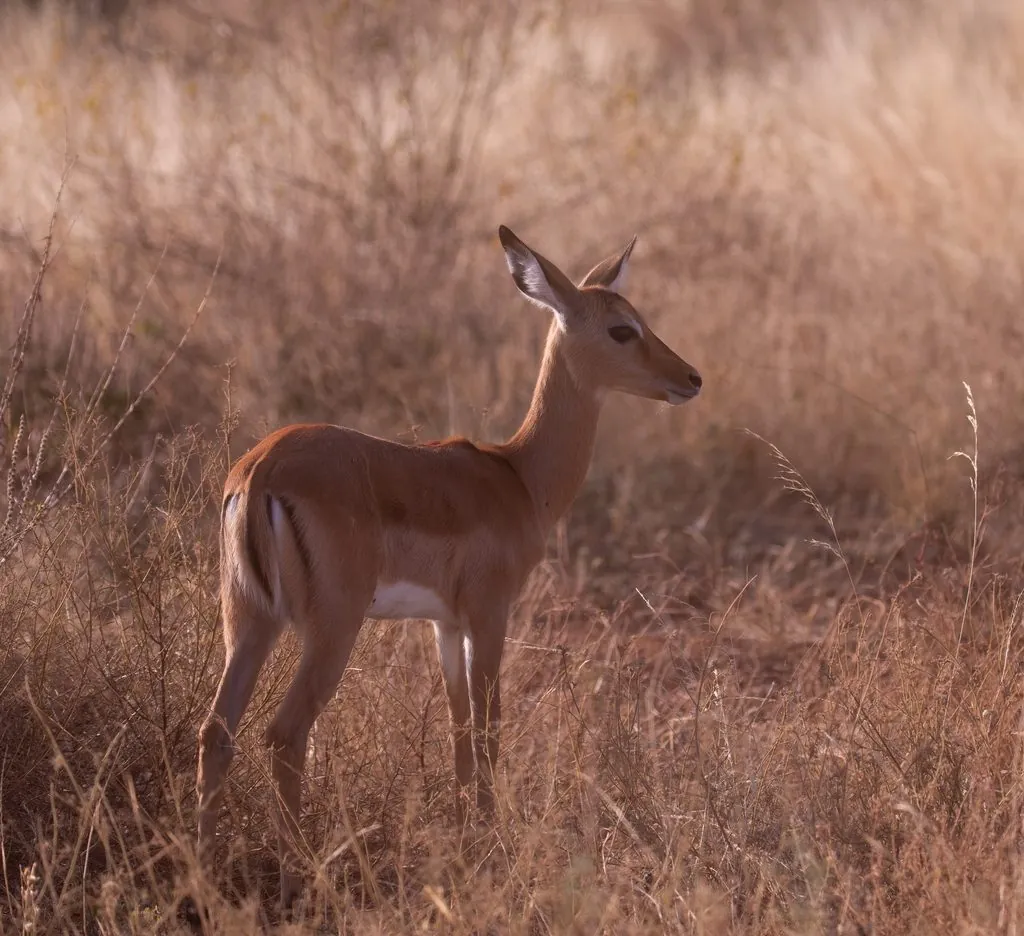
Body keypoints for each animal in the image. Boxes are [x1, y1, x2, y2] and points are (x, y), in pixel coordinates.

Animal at [196, 225, 702, 911]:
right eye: (623, 329)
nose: (690, 377)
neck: (517, 477)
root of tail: (259, 470)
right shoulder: (490, 615)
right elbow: (488, 730)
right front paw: (492, 844)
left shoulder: (445, 624)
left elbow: (460, 731)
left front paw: (468, 837)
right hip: (332, 629)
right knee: (284, 733)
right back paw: (303, 876)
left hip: (249, 621)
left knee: (215, 731)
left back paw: (200, 872)